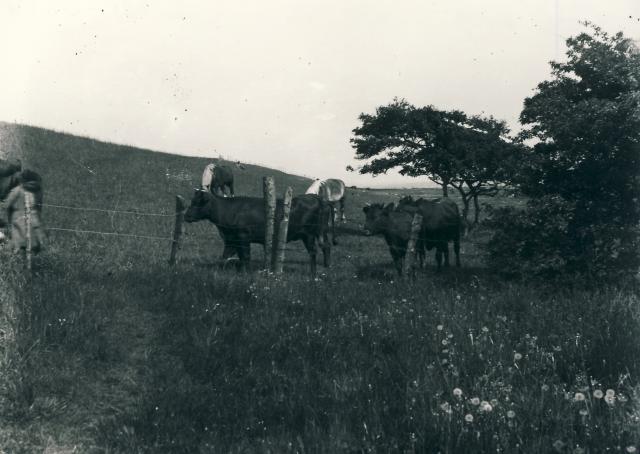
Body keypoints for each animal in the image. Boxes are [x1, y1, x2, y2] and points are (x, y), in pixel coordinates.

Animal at [184, 189, 330, 274]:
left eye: (198, 203)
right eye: (192, 201)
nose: (186, 216)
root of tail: (314, 197)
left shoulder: (243, 237)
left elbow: (245, 256)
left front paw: (245, 274)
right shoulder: (232, 239)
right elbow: (226, 256)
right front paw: (220, 270)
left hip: (308, 234)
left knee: (313, 251)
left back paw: (313, 274)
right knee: (324, 247)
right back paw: (323, 268)